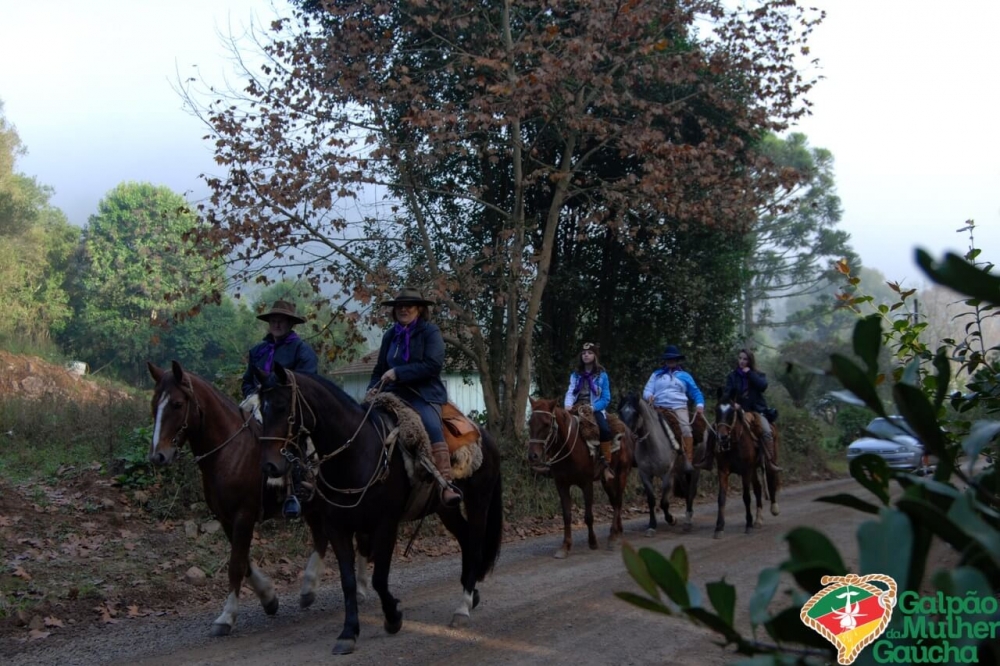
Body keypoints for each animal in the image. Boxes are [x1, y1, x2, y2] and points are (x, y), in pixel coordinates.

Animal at [146, 360, 370, 636]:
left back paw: (360, 588)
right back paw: (308, 589)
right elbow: (244, 562)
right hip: (313, 507)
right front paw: (268, 597)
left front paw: (227, 616)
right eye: (154, 404)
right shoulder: (226, 519)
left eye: (177, 404)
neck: (231, 451)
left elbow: (235, 565)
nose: (158, 456)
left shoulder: (244, 515)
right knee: (321, 538)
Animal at [254, 364, 504, 652]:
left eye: (283, 406)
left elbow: (379, 578)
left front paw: (393, 617)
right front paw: (348, 632)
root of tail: (486, 435)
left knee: (474, 544)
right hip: (446, 509)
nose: (270, 466)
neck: (357, 454)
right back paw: (471, 594)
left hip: (478, 501)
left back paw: (462, 607)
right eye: (262, 408)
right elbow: (348, 582)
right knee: (465, 540)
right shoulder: (337, 528)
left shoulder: (385, 525)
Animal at [524, 396, 632, 556]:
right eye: (530, 423)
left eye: (547, 424)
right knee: (614, 501)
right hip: (607, 480)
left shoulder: (586, 484)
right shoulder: (561, 485)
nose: (533, 456)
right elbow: (566, 516)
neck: (570, 448)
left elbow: (588, 516)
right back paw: (618, 532)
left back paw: (613, 536)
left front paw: (592, 542)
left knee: (618, 501)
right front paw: (565, 546)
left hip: (622, 473)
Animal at [616, 394, 704, 536]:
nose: (624, 436)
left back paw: (688, 521)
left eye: (635, 413)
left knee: (691, 491)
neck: (652, 444)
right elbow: (651, 500)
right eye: (621, 412)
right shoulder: (645, 475)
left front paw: (671, 519)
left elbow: (664, 502)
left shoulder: (666, 474)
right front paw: (652, 525)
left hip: (694, 470)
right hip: (679, 472)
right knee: (686, 491)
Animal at [712, 392, 780, 536]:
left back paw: (774, 508)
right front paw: (719, 527)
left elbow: (746, 496)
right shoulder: (723, 470)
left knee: (771, 478)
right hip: (753, 469)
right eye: (716, 410)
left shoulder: (746, 470)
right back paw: (758, 520)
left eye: (732, 411)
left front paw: (748, 524)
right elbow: (721, 497)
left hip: (769, 459)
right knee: (758, 488)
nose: (722, 437)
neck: (734, 442)